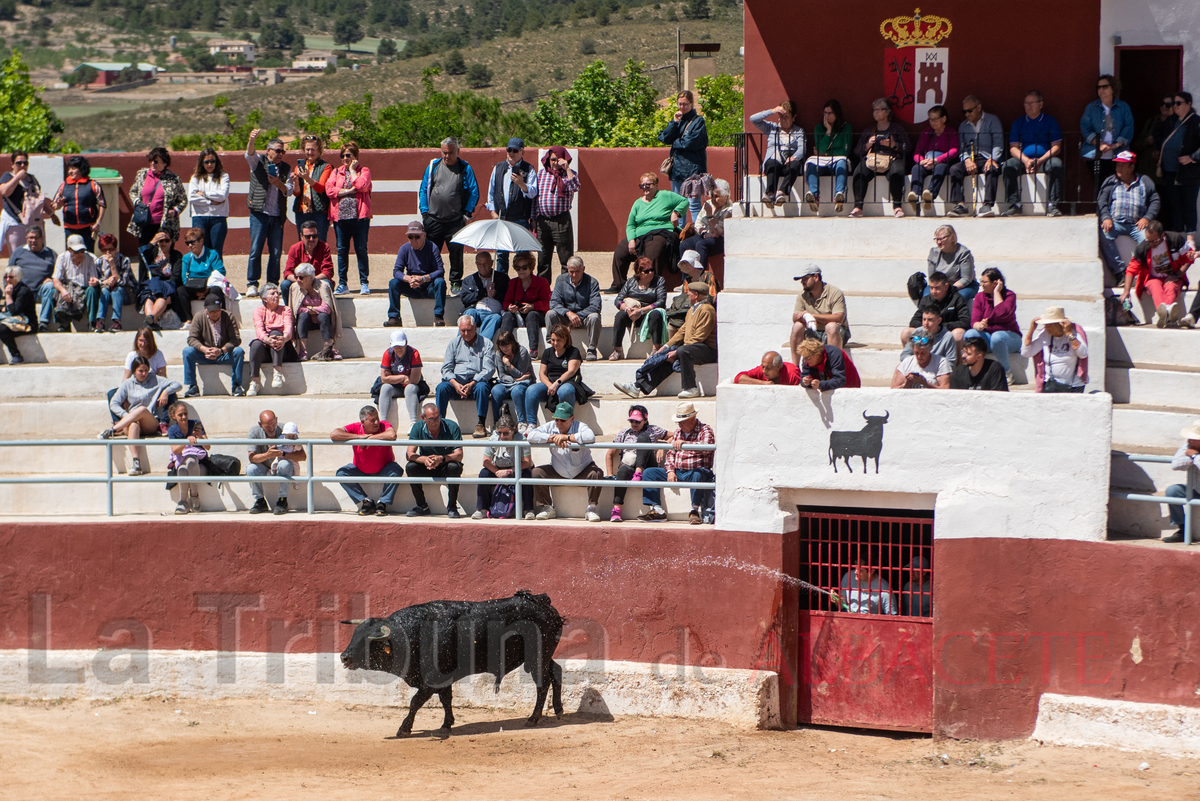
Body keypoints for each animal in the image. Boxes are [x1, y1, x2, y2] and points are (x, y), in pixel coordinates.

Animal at [338, 592, 561, 733]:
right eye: (355, 635)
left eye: (369, 642)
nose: (344, 657)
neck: (415, 634)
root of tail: (542, 603)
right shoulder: (443, 679)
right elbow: (446, 699)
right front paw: (446, 724)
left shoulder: (432, 679)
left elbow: (415, 702)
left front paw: (404, 728)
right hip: (542, 658)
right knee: (555, 671)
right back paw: (558, 710)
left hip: (536, 658)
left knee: (543, 684)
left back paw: (533, 719)